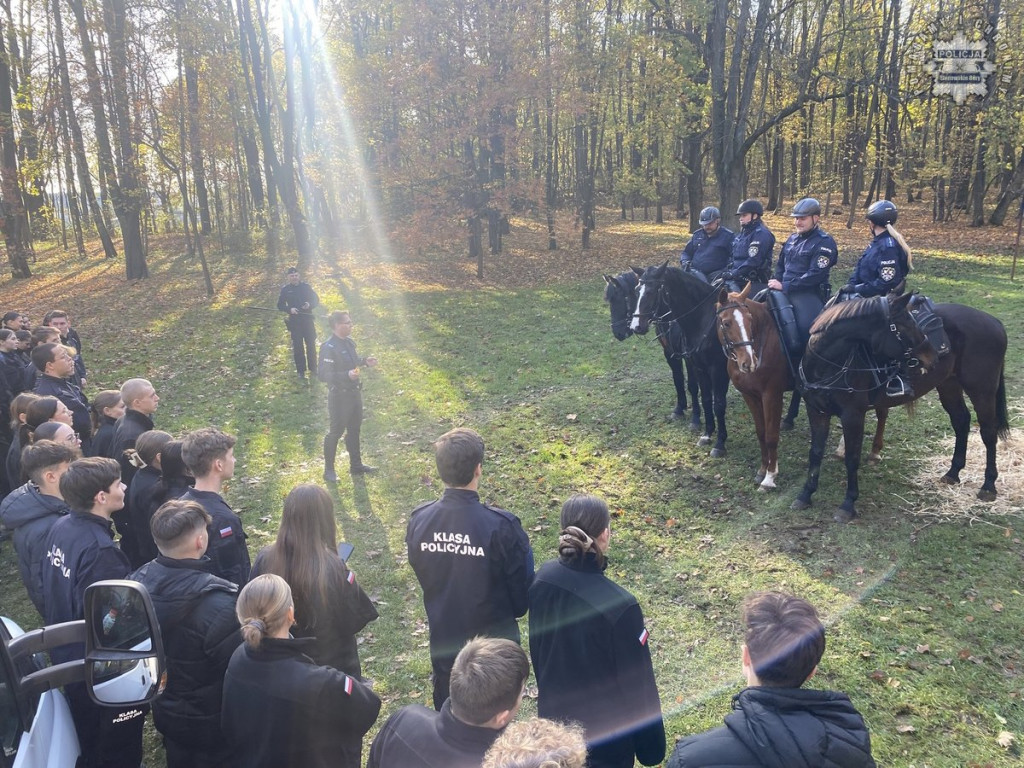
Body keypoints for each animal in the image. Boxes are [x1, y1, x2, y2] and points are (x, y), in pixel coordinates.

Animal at [602, 270, 700, 428]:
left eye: (622, 298)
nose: (618, 333)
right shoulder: (669, 352)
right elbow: (678, 379)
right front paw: (679, 409)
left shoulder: (689, 356)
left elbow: (692, 385)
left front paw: (696, 417)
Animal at [626, 264, 733, 456]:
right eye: (637, 290)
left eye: (653, 291)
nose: (636, 327)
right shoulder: (675, 355)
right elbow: (685, 384)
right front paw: (682, 412)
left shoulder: (715, 368)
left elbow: (709, 397)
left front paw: (716, 439)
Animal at [794, 296, 1003, 524]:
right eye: (905, 325)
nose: (931, 356)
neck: (828, 365)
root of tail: (995, 322)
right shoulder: (816, 411)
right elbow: (815, 452)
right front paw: (805, 494)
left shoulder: (853, 416)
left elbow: (852, 458)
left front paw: (848, 504)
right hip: (949, 385)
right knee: (961, 421)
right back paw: (953, 472)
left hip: (982, 390)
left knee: (988, 433)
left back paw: (988, 486)